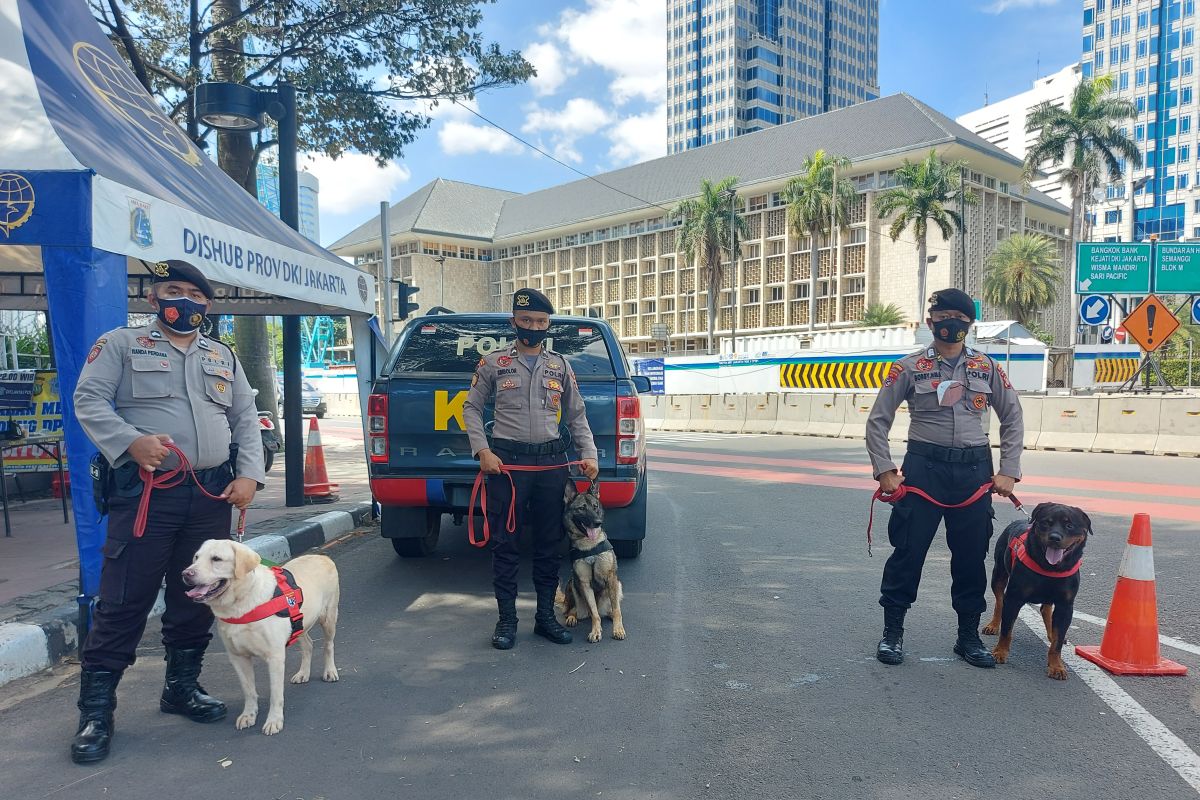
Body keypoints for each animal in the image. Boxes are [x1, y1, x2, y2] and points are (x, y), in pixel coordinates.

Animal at [184, 542, 340, 734]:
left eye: (216, 559)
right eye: (196, 557)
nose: (186, 573)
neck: (240, 605)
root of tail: (322, 556)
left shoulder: (275, 657)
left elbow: (275, 694)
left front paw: (274, 720)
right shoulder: (238, 658)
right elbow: (249, 691)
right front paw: (248, 715)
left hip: (328, 617)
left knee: (328, 645)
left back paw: (330, 671)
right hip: (300, 623)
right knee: (308, 645)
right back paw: (303, 673)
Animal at [554, 479, 628, 642]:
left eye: (595, 507)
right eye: (582, 508)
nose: (598, 522)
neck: (589, 545)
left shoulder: (611, 578)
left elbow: (617, 610)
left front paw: (618, 629)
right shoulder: (584, 583)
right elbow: (594, 614)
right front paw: (596, 631)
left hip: (617, 585)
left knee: (610, 609)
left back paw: (610, 614)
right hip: (573, 583)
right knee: (573, 610)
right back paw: (572, 617)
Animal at [984, 503, 1089, 681]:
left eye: (1069, 525)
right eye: (1046, 522)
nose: (1055, 537)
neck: (1050, 568)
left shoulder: (1066, 605)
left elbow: (1057, 644)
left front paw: (1057, 666)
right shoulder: (1014, 598)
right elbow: (1006, 630)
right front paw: (1000, 652)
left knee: (1046, 609)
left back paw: (1052, 633)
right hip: (998, 574)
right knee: (999, 600)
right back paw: (993, 625)